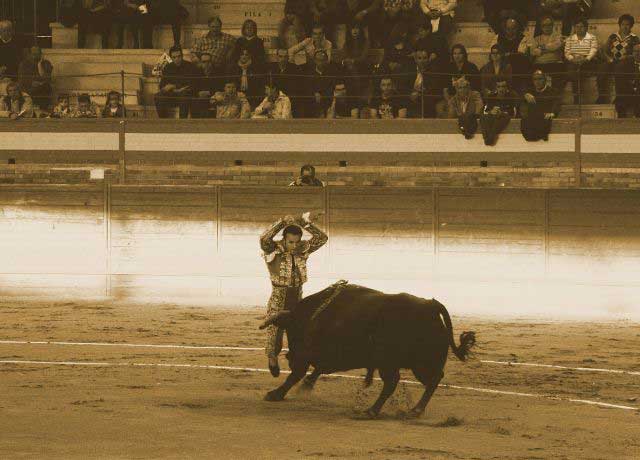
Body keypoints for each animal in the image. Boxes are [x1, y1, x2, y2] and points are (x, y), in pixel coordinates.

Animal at [258, 282, 476, 418]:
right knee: (432, 379)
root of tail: (431, 306)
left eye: (291, 330)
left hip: (405, 363)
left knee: (398, 381)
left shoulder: (306, 354)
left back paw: (375, 411)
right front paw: (306, 385)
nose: (289, 356)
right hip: (419, 363)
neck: (313, 314)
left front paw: (275, 394)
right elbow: (315, 370)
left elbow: (295, 374)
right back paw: (413, 410)